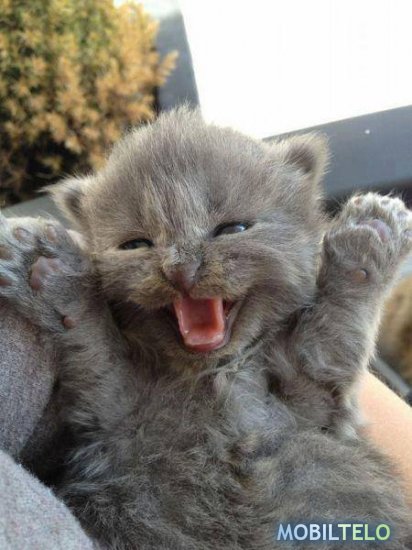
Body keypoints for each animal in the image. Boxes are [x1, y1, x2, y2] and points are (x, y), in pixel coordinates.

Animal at [0, 108, 411, 549]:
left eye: (232, 229)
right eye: (136, 245)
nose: (180, 268)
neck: (211, 377)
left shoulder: (317, 409)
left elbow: (330, 338)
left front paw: (366, 240)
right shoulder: (112, 419)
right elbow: (97, 352)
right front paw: (50, 275)